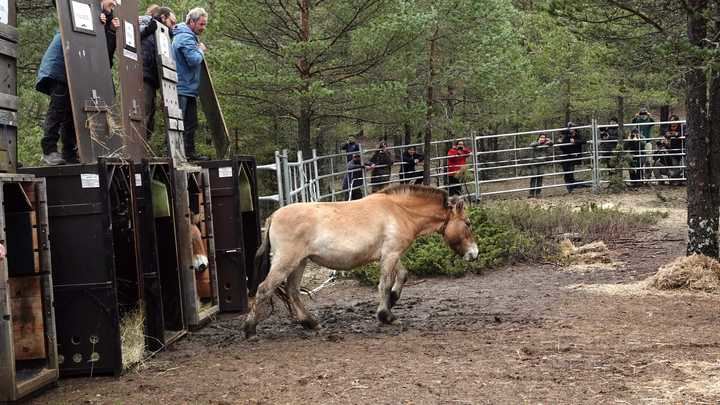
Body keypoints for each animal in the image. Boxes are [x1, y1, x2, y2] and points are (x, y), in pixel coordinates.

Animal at [243, 184, 478, 338]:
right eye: (467, 223)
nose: (474, 254)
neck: (399, 210)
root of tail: (273, 217)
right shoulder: (391, 253)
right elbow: (384, 284)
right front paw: (386, 315)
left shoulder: (388, 254)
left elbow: (402, 275)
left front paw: (393, 300)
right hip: (286, 262)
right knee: (264, 289)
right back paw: (250, 329)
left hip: (299, 263)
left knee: (292, 291)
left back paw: (311, 323)